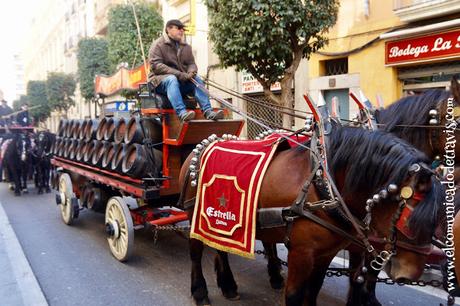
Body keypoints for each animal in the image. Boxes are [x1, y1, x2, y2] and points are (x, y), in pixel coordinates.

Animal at [179, 126, 442, 306]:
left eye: (436, 219)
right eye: (408, 218)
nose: (408, 274)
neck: (322, 185)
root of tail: (201, 147)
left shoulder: (326, 253)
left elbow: (315, 289)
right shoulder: (301, 253)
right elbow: (295, 295)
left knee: (222, 249)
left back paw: (229, 285)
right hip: (195, 216)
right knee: (195, 253)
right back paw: (200, 291)